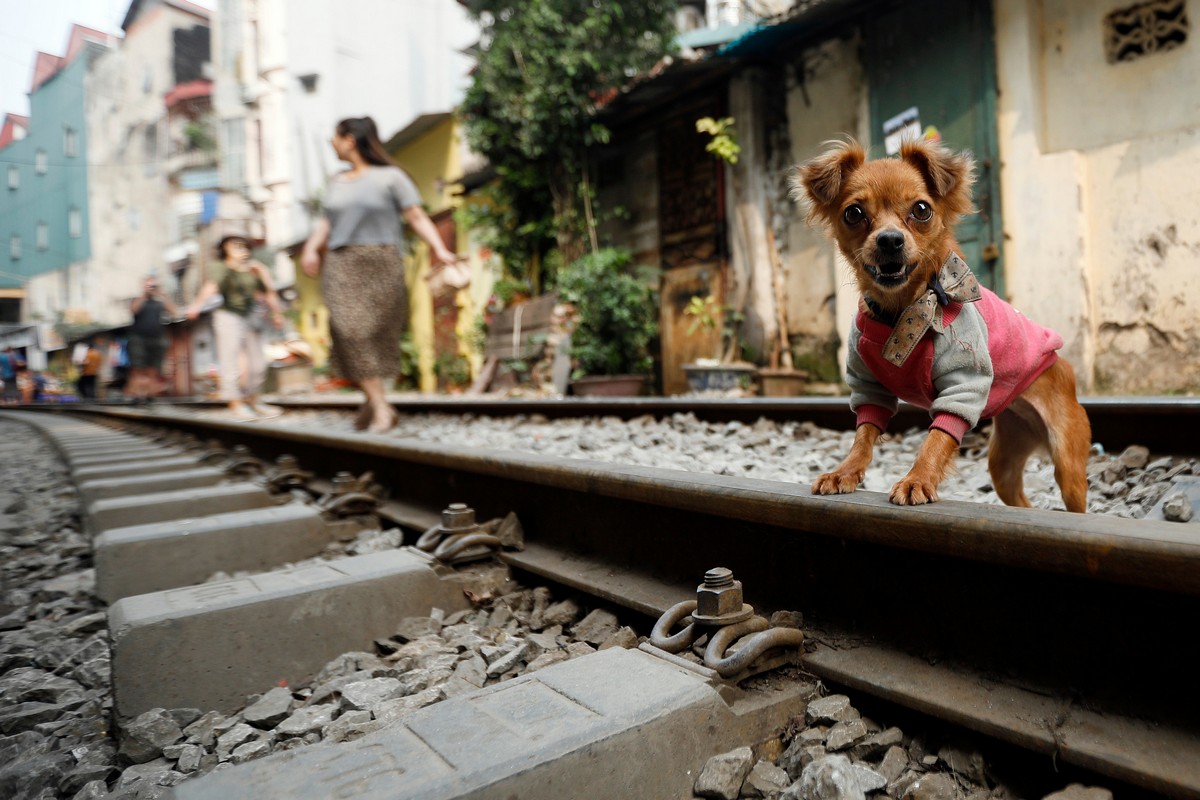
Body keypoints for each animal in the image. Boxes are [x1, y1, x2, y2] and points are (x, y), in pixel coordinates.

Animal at [792, 136, 1094, 513]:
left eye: (922, 209)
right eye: (854, 213)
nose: (890, 239)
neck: (903, 310)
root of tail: (1060, 363)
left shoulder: (964, 385)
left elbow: (938, 436)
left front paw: (917, 480)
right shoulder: (868, 386)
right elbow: (863, 434)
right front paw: (844, 471)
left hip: (1067, 464)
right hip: (1005, 463)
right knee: (1020, 498)